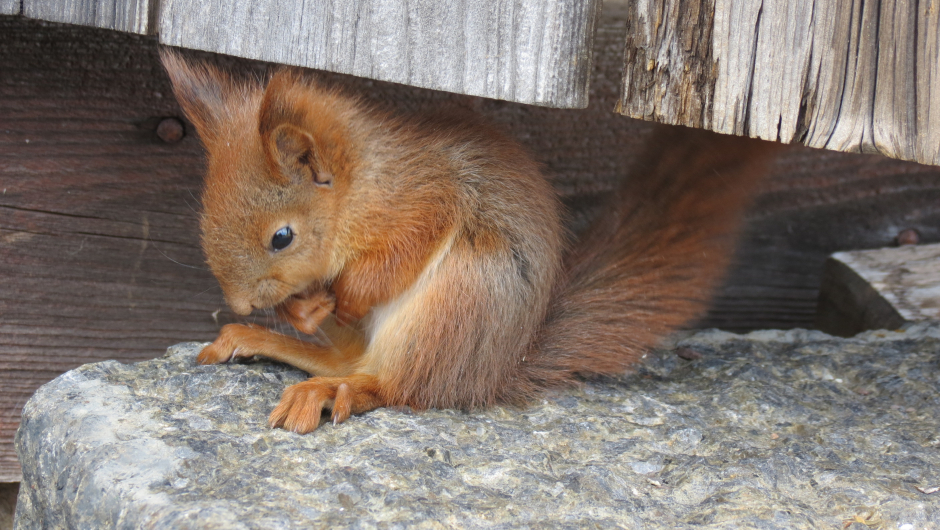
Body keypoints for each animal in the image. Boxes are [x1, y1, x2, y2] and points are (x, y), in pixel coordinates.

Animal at [160, 49, 780, 432]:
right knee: (347, 358)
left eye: (282, 237)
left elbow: (403, 251)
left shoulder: (425, 201)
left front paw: (348, 295)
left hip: (459, 294)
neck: (364, 183)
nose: (240, 302)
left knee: (399, 385)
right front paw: (301, 310)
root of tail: (495, 368)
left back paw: (334, 389)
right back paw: (263, 341)